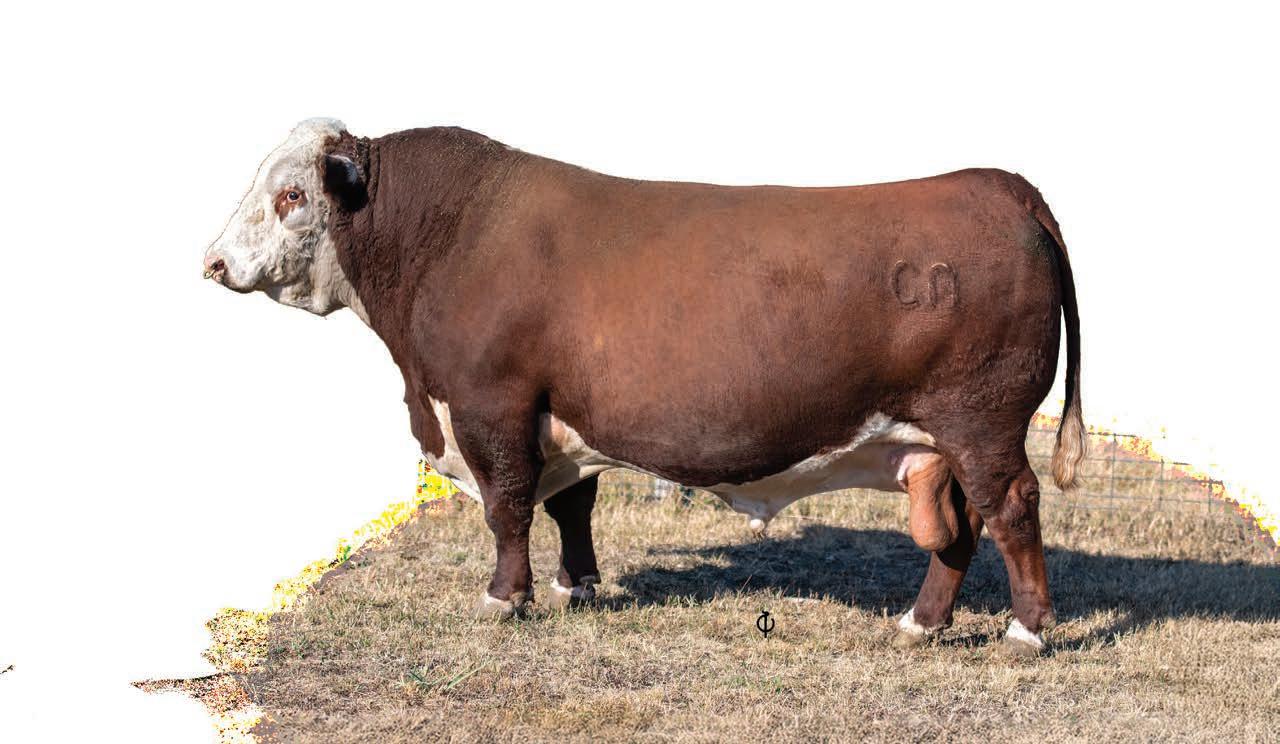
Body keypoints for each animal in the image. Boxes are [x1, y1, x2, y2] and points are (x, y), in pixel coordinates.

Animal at [204, 119, 1084, 656]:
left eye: (291, 195)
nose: (213, 263)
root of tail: (996, 183)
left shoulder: (492, 405)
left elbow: (507, 509)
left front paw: (504, 598)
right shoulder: (558, 416)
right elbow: (570, 504)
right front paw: (577, 585)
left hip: (983, 423)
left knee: (1011, 510)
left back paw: (1027, 633)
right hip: (944, 441)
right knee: (959, 530)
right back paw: (918, 624)